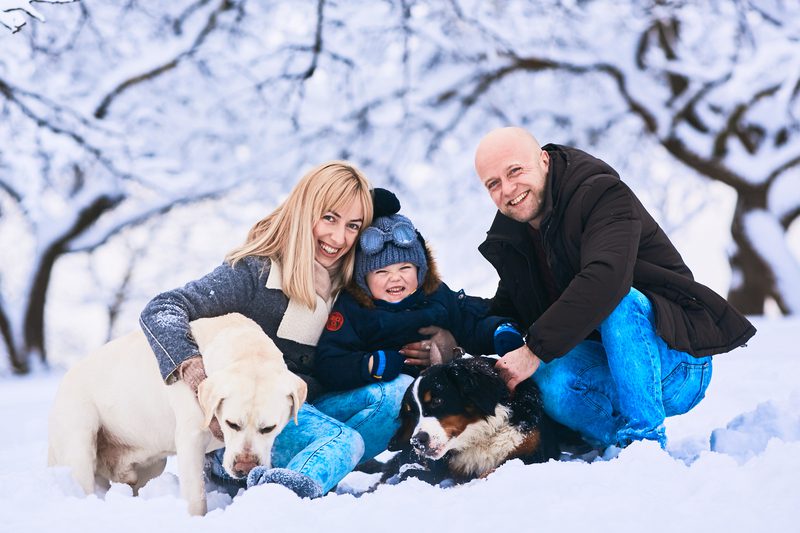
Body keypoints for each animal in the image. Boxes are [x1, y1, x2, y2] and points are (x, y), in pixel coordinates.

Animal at [47, 314, 306, 512]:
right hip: (80, 443)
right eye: (231, 423)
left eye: (268, 428)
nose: (244, 467)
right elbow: (196, 496)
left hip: (151, 464)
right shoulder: (191, 440)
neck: (247, 349)